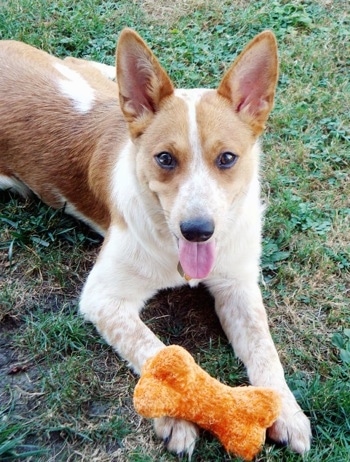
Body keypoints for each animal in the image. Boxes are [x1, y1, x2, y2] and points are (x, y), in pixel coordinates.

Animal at [0, 29, 312, 458]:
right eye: (164, 158)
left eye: (227, 158)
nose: (197, 230)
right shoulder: (104, 298)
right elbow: (155, 350)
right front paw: (175, 417)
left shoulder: (238, 285)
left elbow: (265, 348)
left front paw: (287, 410)